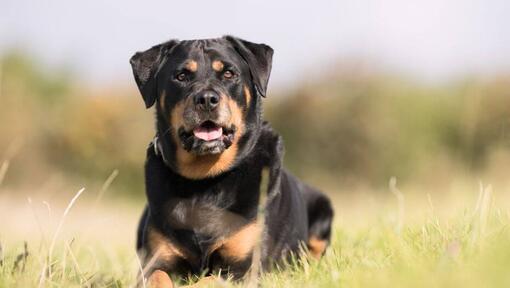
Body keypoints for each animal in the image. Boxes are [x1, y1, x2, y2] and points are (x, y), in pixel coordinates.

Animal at [129, 36, 332, 288]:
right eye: (181, 76)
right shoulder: (155, 259)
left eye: (228, 73)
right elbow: (158, 276)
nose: (206, 99)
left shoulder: (244, 267)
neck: (204, 180)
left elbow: (206, 281)